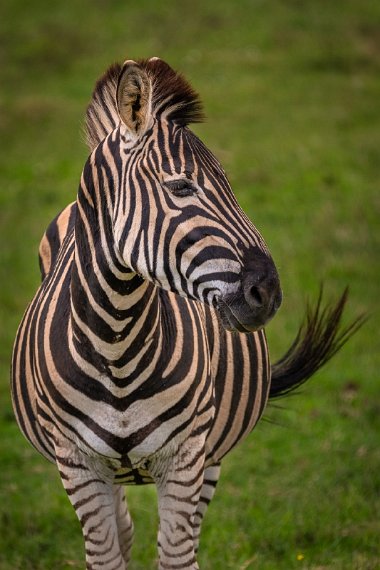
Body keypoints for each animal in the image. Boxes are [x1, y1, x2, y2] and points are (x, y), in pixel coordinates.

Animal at [9, 56, 360, 564]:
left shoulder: (187, 457)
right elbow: (107, 554)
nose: (269, 292)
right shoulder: (77, 465)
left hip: (212, 456)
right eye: (180, 186)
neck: (116, 340)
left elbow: (176, 556)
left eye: (231, 185)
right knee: (124, 529)